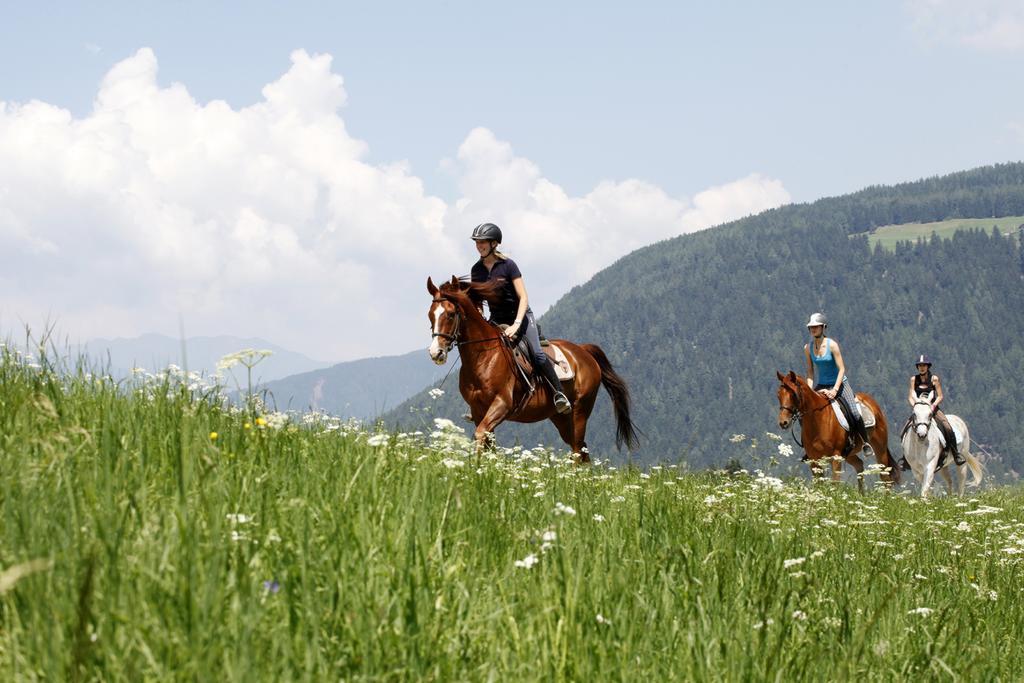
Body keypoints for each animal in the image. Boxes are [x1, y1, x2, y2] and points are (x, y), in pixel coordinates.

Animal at [425, 274, 634, 462]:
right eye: (430, 315)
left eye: (450, 314)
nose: (436, 352)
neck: (483, 356)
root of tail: (583, 351)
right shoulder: (478, 410)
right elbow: (487, 442)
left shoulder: (502, 404)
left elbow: (480, 434)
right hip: (560, 418)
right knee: (582, 449)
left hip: (580, 411)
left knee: (577, 449)